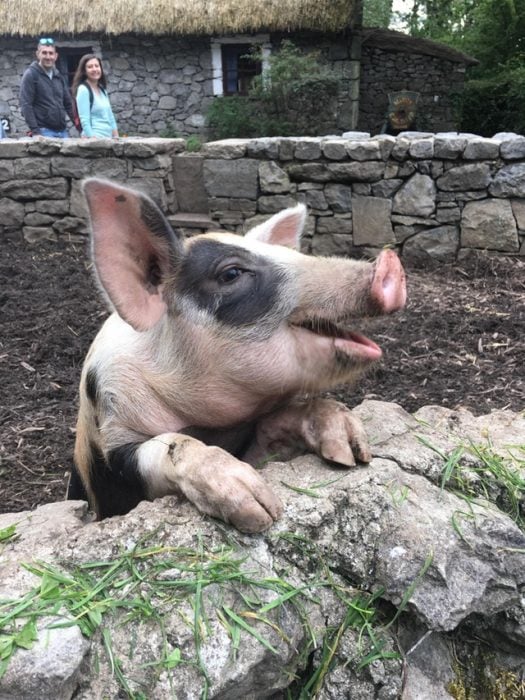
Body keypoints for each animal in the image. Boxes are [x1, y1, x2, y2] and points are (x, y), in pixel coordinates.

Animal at [68, 179, 406, 532]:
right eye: (231, 274)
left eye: (292, 254)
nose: (389, 262)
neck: (213, 425)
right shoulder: (111, 445)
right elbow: (167, 445)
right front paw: (260, 508)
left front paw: (351, 451)